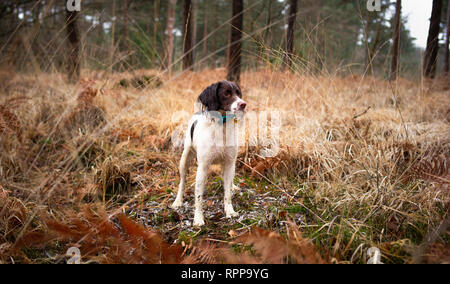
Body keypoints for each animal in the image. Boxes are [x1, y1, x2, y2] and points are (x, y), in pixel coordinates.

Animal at [171, 80, 248, 226]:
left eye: (238, 93)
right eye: (226, 93)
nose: (243, 104)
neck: (221, 125)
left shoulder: (229, 163)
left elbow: (227, 193)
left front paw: (230, 211)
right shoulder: (203, 166)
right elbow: (198, 196)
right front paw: (198, 218)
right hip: (184, 159)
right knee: (182, 182)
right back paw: (178, 201)